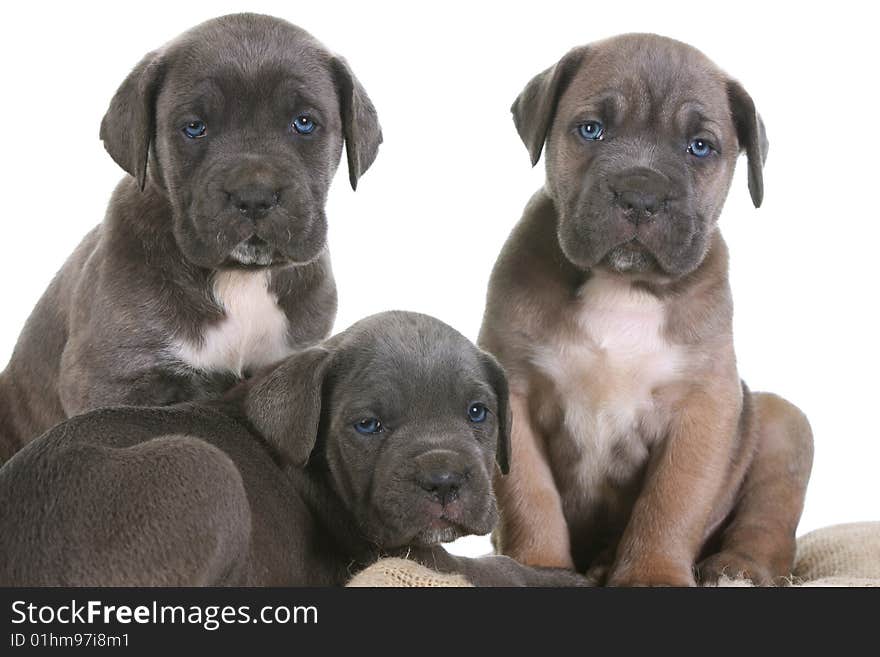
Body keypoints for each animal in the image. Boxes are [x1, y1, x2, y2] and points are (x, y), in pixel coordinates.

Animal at [1, 310, 592, 588]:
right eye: (367, 425)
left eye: (477, 413)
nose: (444, 480)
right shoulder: (412, 554)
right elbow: (500, 571)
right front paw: (567, 577)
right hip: (203, 467)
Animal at [478, 33, 816, 584]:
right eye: (590, 130)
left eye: (699, 146)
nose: (640, 194)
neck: (624, 286)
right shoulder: (516, 394)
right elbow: (530, 495)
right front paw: (540, 566)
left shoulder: (702, 407)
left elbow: (671, 500)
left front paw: (653, 573)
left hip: (784, 422)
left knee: (767, 524)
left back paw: (736, 568)